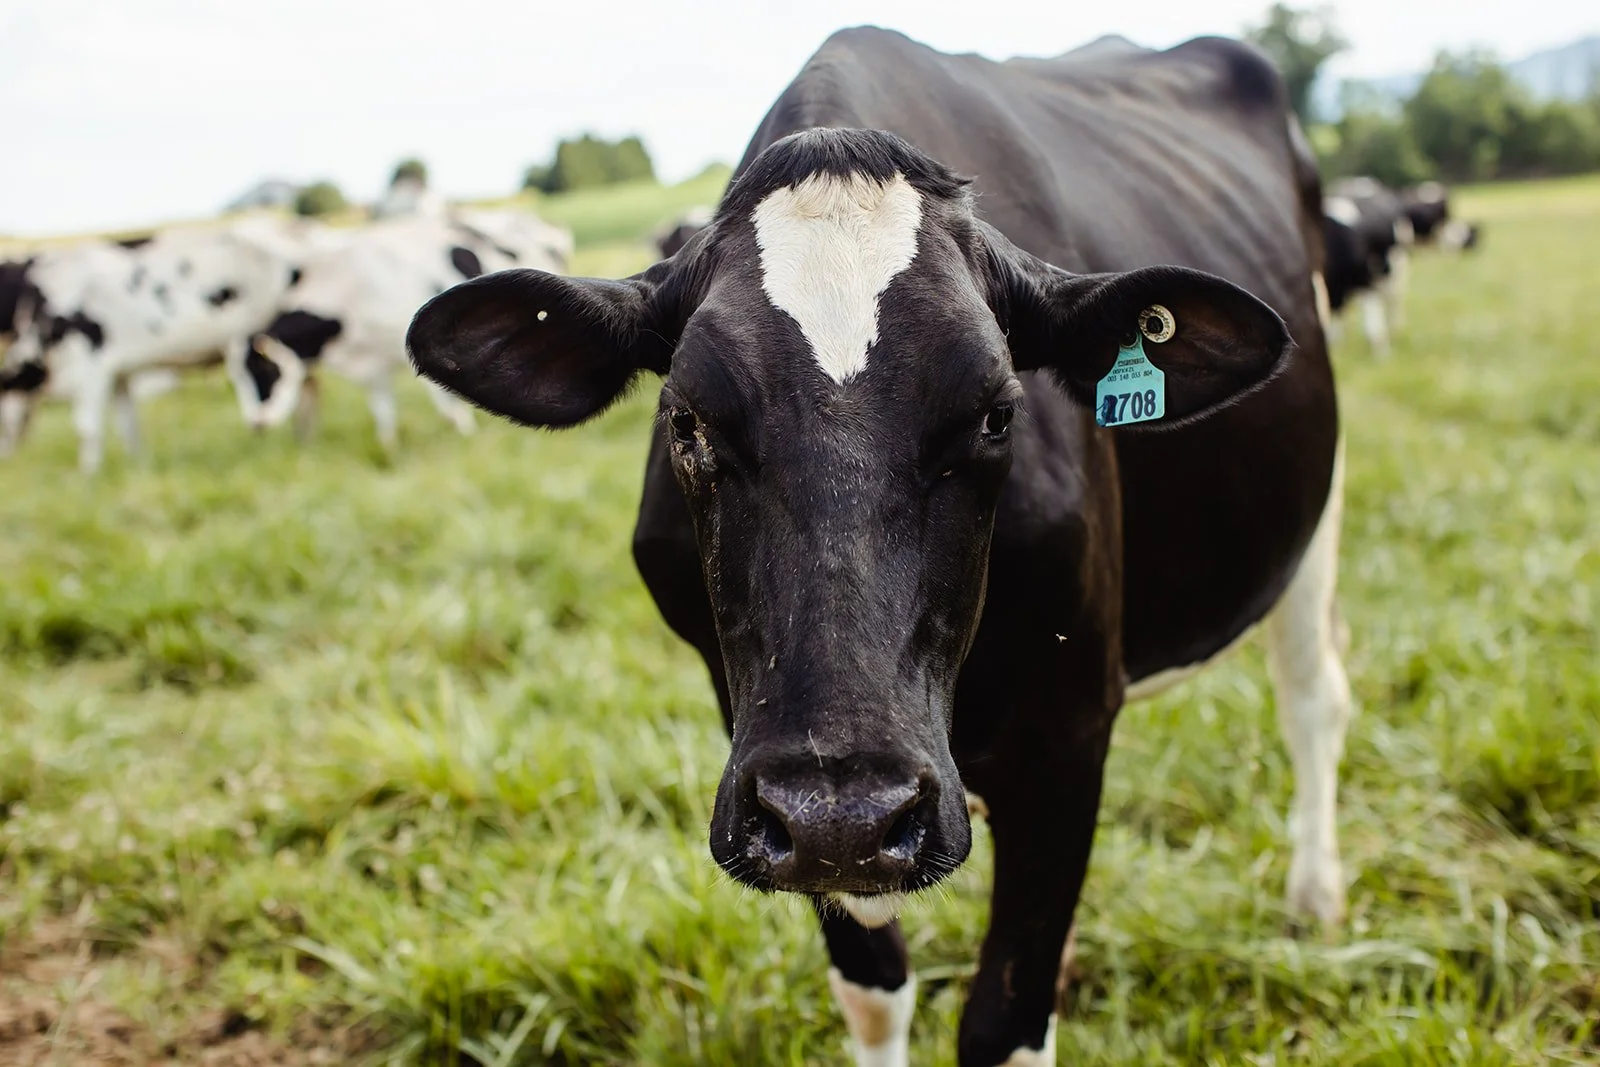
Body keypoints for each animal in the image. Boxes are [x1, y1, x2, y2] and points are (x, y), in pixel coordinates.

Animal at [243, 209, 571, 448]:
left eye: (264, 370)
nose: (256, 424)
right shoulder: (374, 367)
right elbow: (383, 411)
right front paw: (389, 448)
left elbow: (444, 401)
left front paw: (464, 430)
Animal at [408, 27, 1349, 1067]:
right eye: (686, 419)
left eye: (998, 412)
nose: (844, 812)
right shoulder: (761, 759)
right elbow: (871, 989)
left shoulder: (1067, 732)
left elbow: (1003, 1023)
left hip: (1315, 513)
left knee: (1314, 697)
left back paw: (1315, 893)